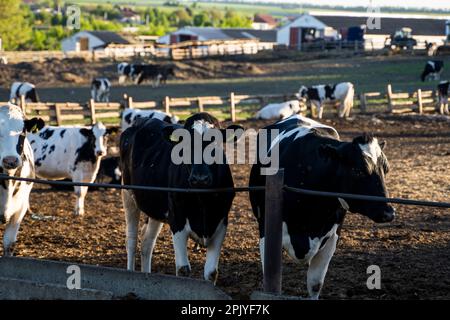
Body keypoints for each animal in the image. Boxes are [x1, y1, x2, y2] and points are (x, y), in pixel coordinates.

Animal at [118, 112, 239, 282]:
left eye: (216, 144)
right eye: (185, 145)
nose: (200, 178)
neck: (203, 202)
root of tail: (141, 120)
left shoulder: (220, 222)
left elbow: (211, 273)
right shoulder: (177, 221)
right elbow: (183, 269)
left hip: (156, 206)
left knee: (147, 241)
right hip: (128, 195)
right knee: (131, 240)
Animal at [248, 115, 396, 300]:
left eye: (386, 170)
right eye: (358, 170)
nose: (389, 213)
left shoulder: (332, 237)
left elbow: (315, 283)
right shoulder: (266, 231)